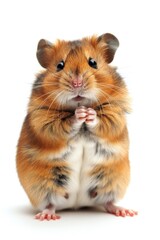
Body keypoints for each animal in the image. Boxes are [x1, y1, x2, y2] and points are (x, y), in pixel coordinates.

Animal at [16, 32, 137, 220]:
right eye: (60, 65)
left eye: (93, 62)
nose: (77, 84)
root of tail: (76, 204)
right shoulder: (42, 120)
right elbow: (62, 124)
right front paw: (80, 114)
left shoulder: (116, 113)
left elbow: (105, 120)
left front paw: (88, 113)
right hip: (44, 186)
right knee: (51, 204)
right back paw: (46, 216)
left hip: (113, 181)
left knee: (108, 202)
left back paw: (125, 211)